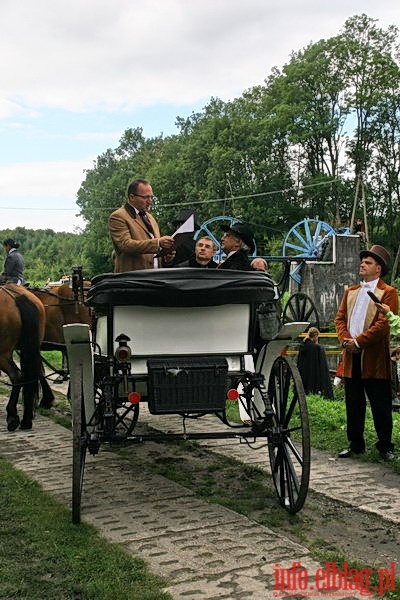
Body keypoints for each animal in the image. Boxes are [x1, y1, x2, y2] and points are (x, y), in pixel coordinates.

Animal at [0, 284, 53, 428]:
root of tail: (16, 296)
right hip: (32, 347)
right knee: (34, 374)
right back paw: (27, 418)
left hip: (2, 353)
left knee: (17, 376)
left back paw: (12, 416)